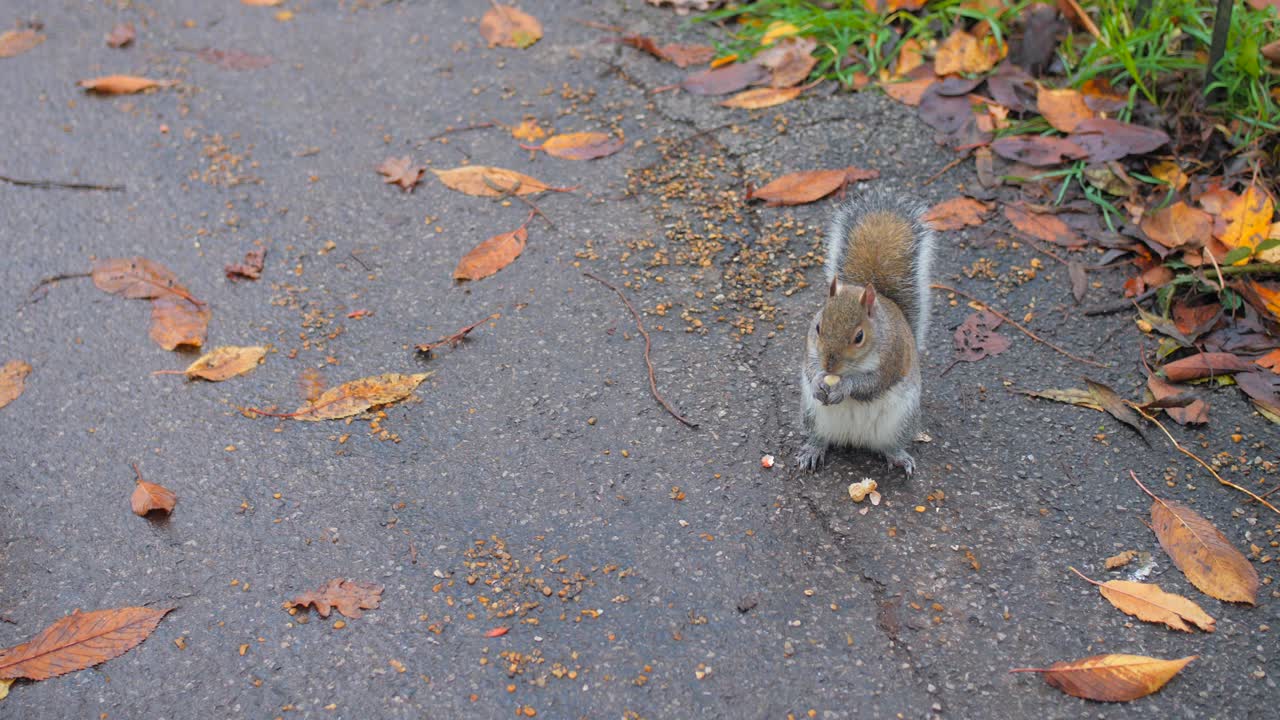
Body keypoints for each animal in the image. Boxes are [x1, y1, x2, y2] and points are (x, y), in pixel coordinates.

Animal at [796, 189, 936, 476]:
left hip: (900, 421)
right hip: (812, 415)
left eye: (859, 337)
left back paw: (899, 457)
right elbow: (810, 368)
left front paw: (846, 387)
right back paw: (812, 450)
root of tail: (854, 438)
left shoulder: (892, 357)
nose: (830, 365)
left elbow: (872, 383)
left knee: (890, 445)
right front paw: (817, 381)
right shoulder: (810, 349)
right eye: (818, 326)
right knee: (819, 437)